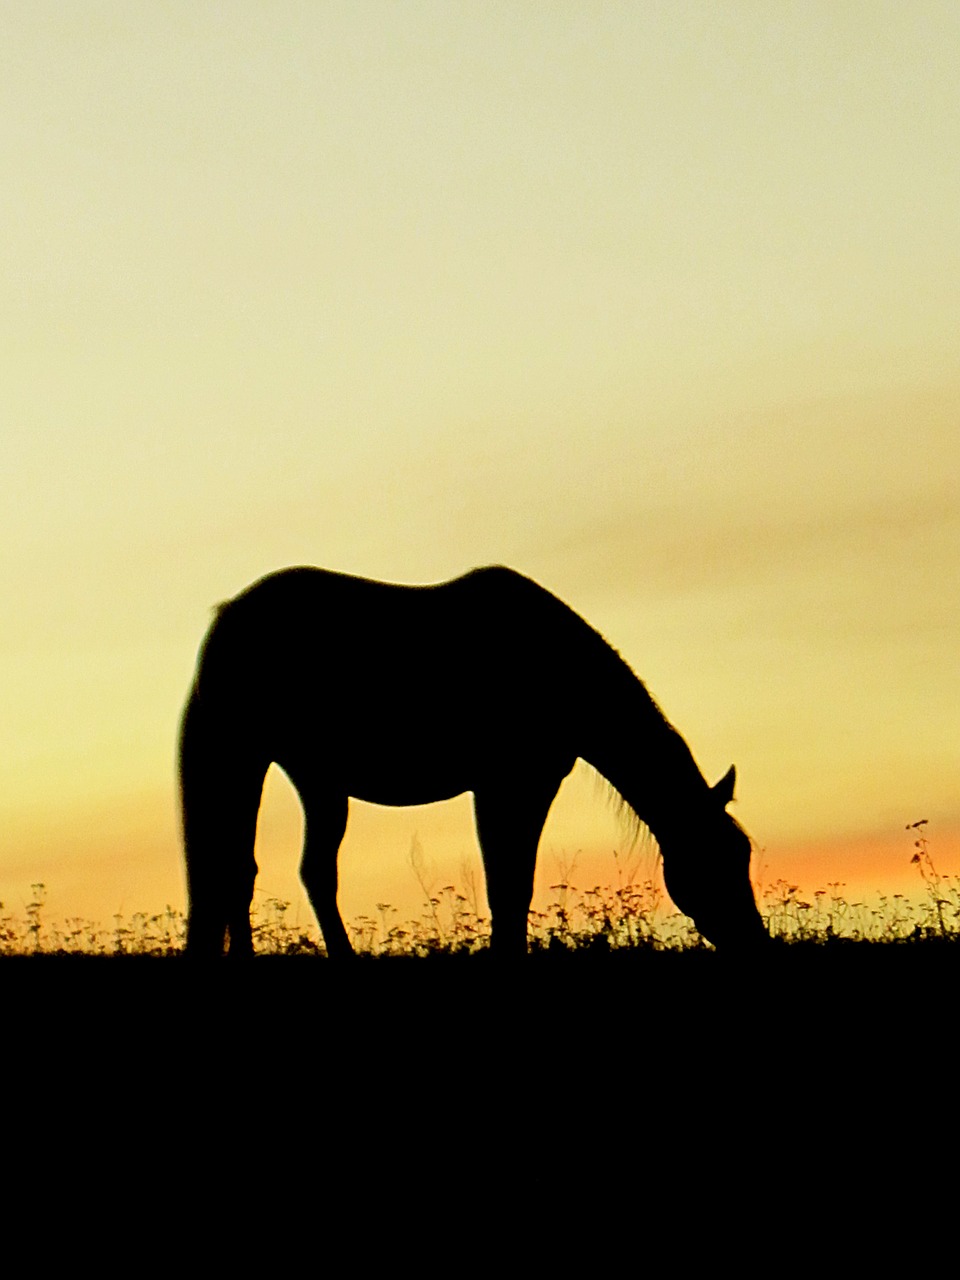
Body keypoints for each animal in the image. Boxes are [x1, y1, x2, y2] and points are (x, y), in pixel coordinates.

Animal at [179, 565, 768, 957]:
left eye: (742, 854)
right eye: (712, 859)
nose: (755, 942)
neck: (557, 668)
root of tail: (228, 616)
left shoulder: (526, 784)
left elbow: (514, 881)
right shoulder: (507, 784)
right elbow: (505, 880)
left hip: (307, 779)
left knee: (256, 869)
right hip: (254, 761)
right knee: (255, 869)